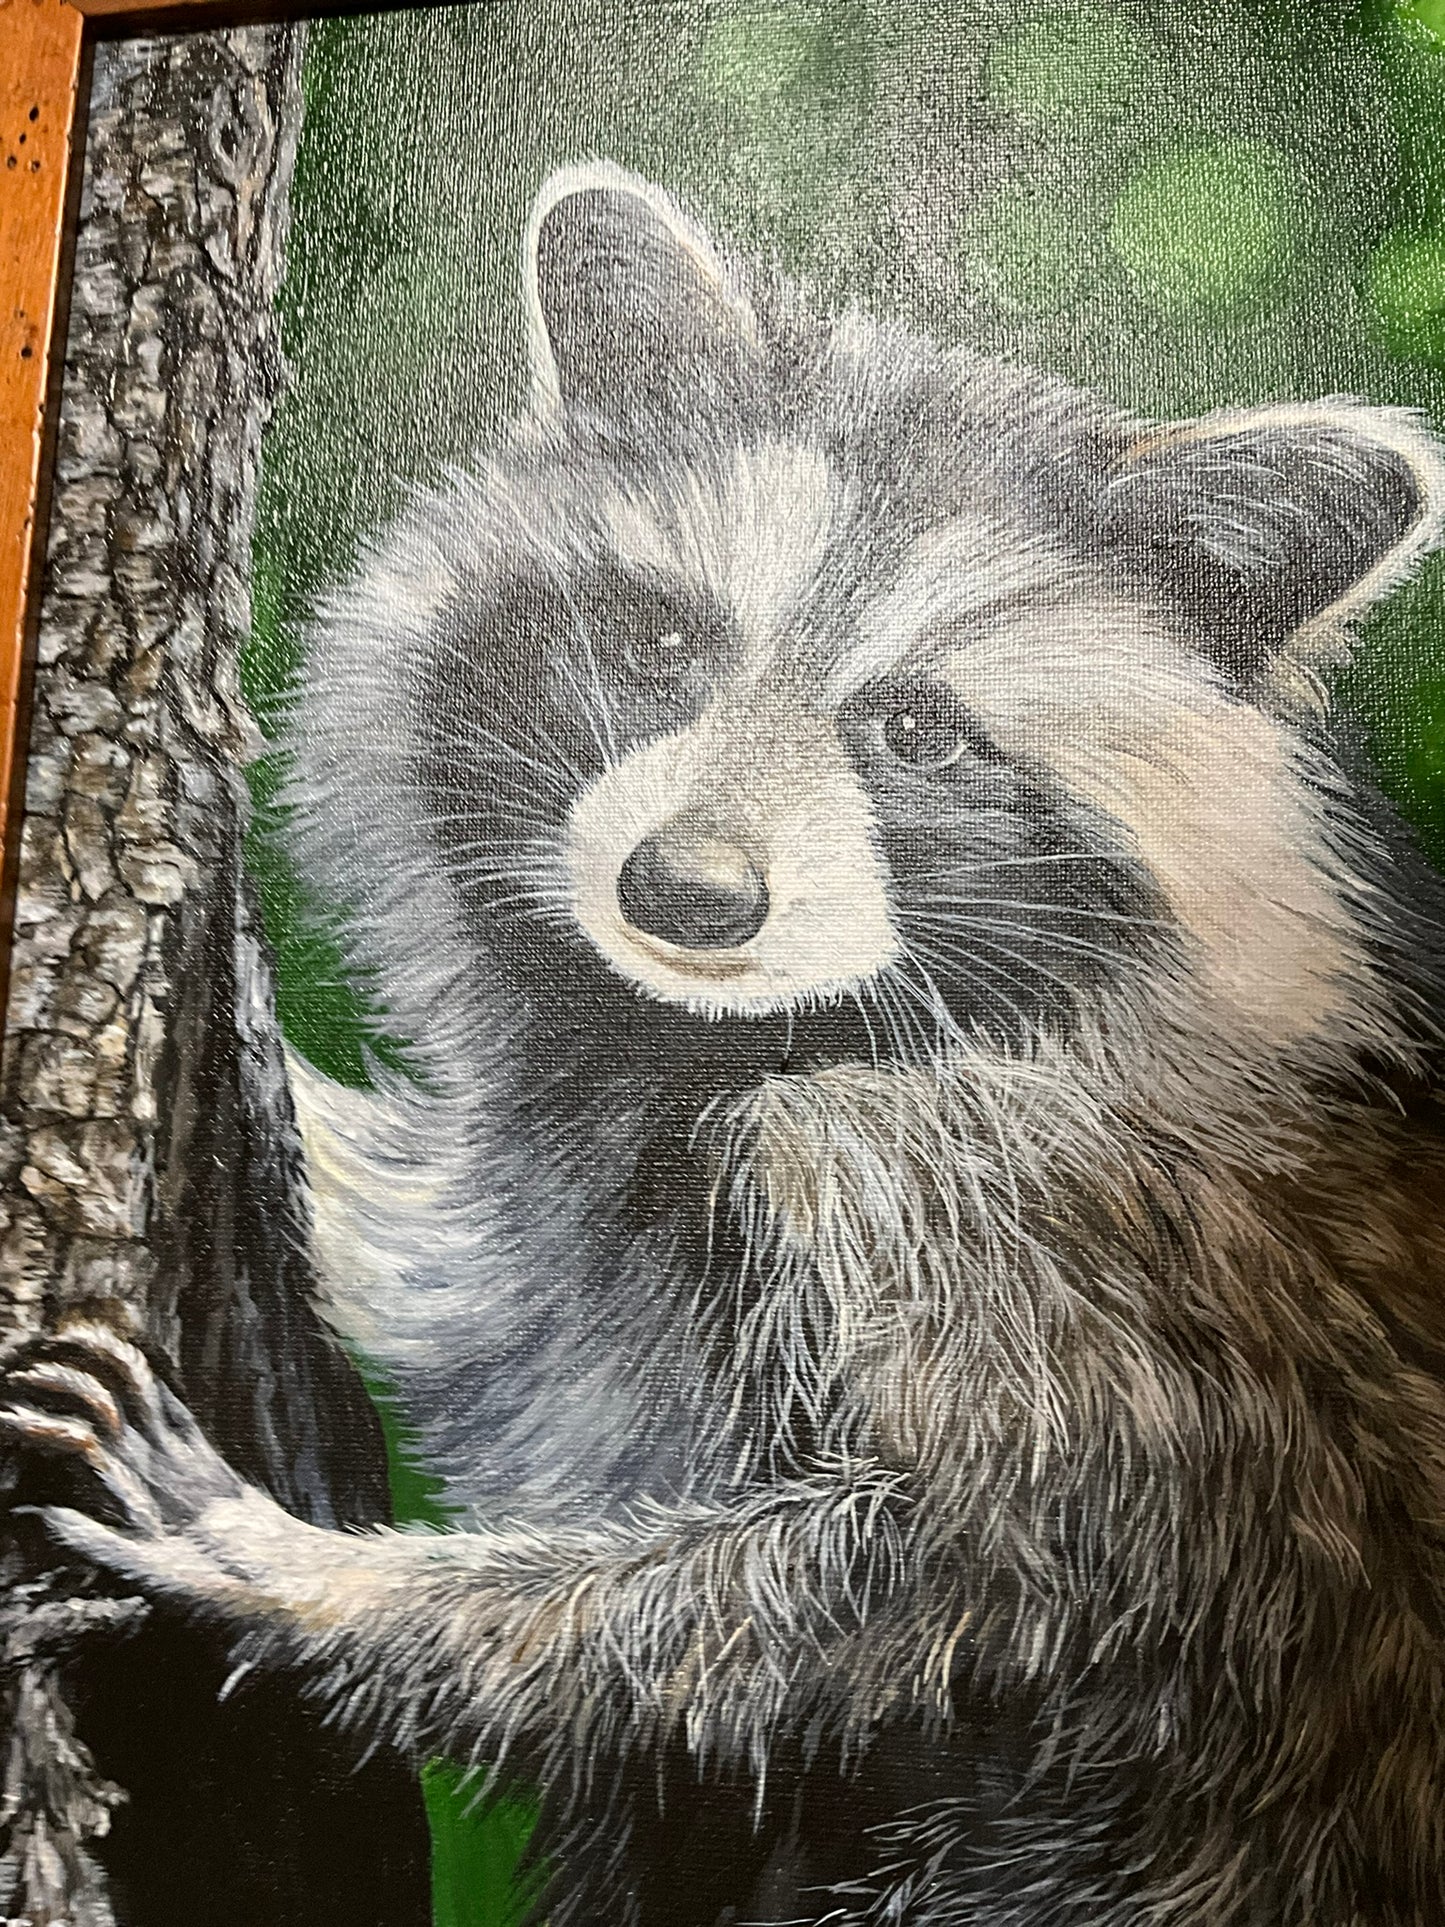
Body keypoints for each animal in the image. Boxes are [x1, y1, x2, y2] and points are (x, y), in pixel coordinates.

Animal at [7, 163, 1445, 1926]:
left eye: (916, 731)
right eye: (665, 645)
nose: (685, 891)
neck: (721, 1039)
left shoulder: (1030, 1232)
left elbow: (943, 1571)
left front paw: (310, 1575)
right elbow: (484, 1293)